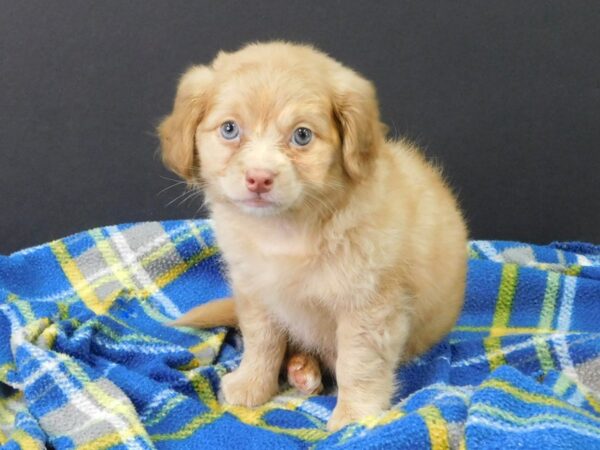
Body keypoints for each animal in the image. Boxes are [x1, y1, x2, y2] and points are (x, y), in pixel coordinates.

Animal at [159, 42, 468, 432]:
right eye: (230, 129)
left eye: (302, 136)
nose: (259, 179)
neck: (288, 229)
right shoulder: (256, 292)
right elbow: (261, 342)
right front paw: (252, 384)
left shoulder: (369, 306)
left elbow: (358, 363)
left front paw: (354, 416)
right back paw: (301, 366)